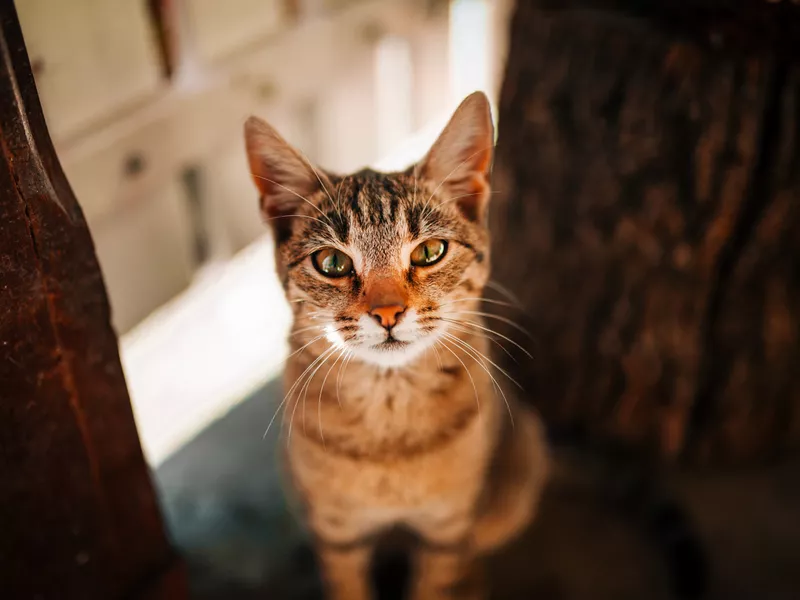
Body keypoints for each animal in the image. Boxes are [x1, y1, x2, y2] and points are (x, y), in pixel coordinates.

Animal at [245, 90, 552, 600]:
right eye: (331, 262)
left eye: (429, 252)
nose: (388, 313)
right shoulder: (337, 533)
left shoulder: (447, 529)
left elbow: (436, 580)